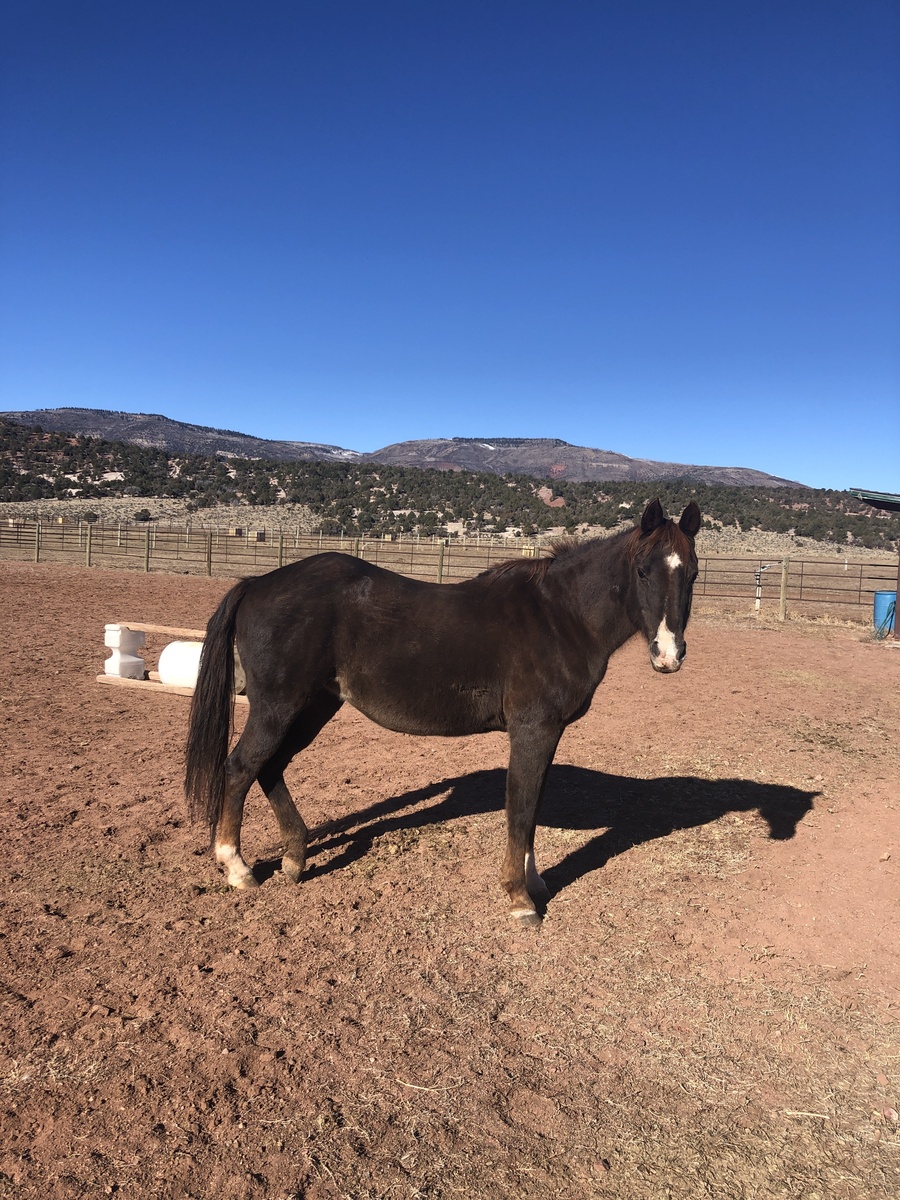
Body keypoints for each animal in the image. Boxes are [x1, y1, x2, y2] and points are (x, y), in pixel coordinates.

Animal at [185, 498, 702, 925]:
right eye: (642, 571)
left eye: (694, 573)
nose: (669, 654)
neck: (560, 616)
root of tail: (257, 583)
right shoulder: (533, 730)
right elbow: (520, 811)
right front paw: (520, 899)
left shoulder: (548, 734)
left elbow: (532, 807)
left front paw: (533, 882)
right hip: (279, 706)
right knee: (241, 767)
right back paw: (237, 867)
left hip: (313, 706)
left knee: (270, 767)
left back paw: (295, 859)